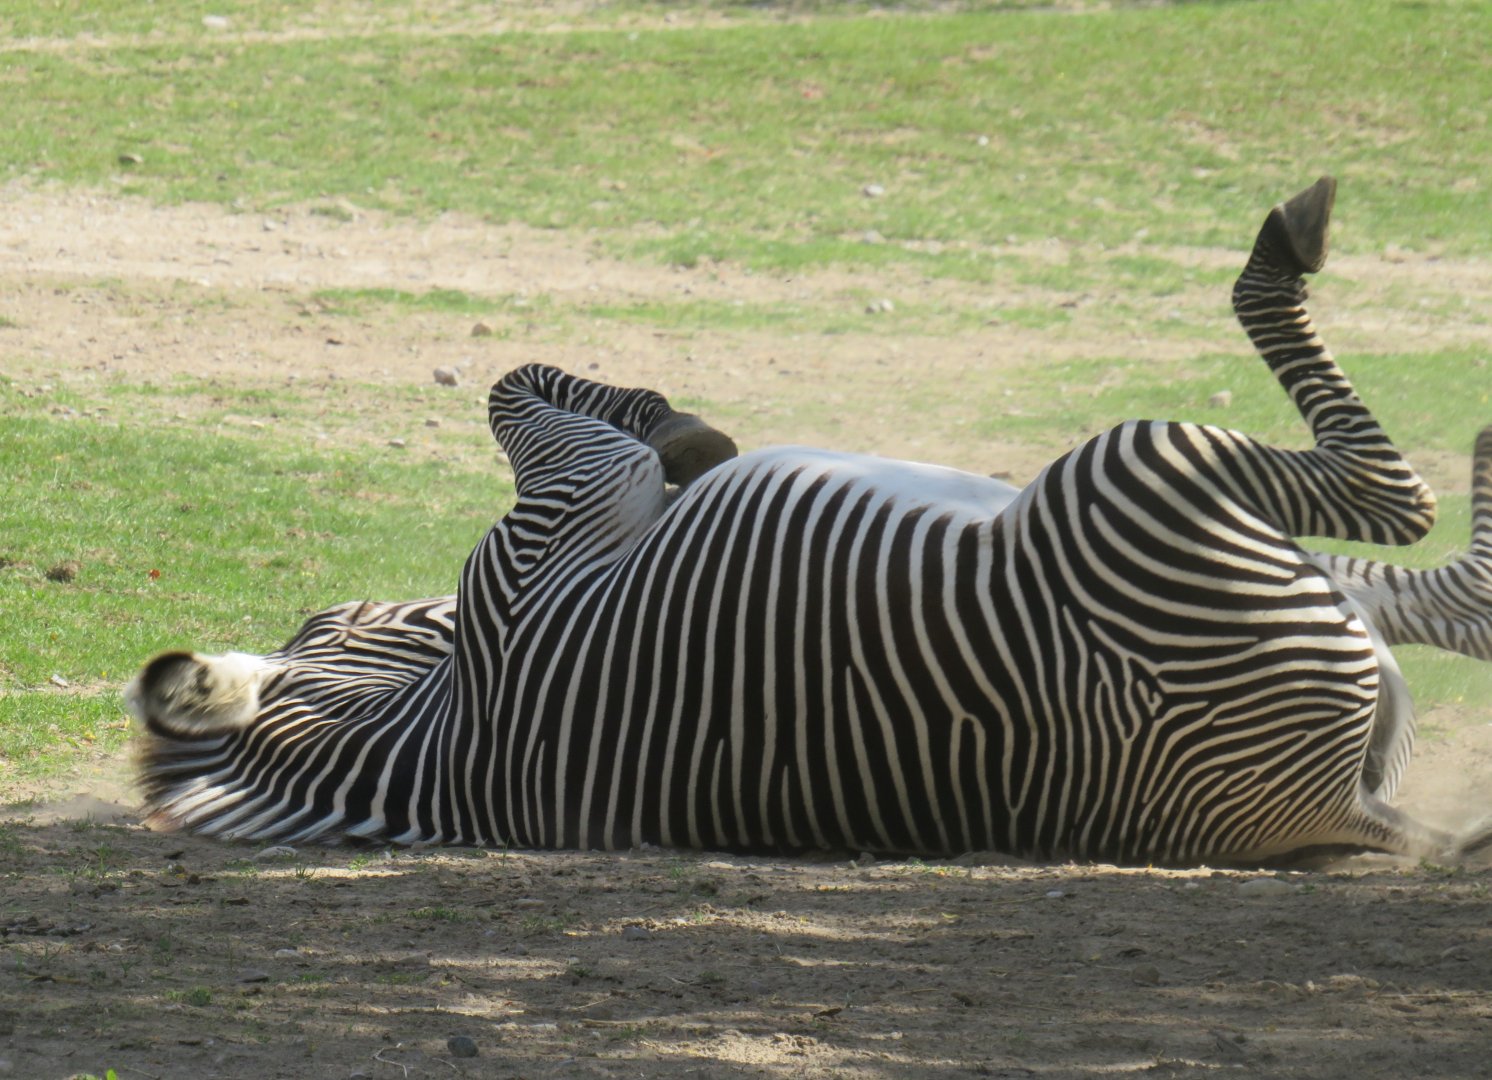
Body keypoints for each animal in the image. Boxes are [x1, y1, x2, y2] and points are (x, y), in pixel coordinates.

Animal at [125, 178, 1492, 867]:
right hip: (1145, 477)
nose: (387, 603)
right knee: (1398, 505)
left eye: (333, 613)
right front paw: (689, 439)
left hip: (1266, 562)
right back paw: (1300, 252)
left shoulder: (546, 537)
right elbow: (520, 384)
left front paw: (690, 444)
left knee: (1437, 585)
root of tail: (1330, 809)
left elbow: (524, 384)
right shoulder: (556, 515)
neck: (418, 745)